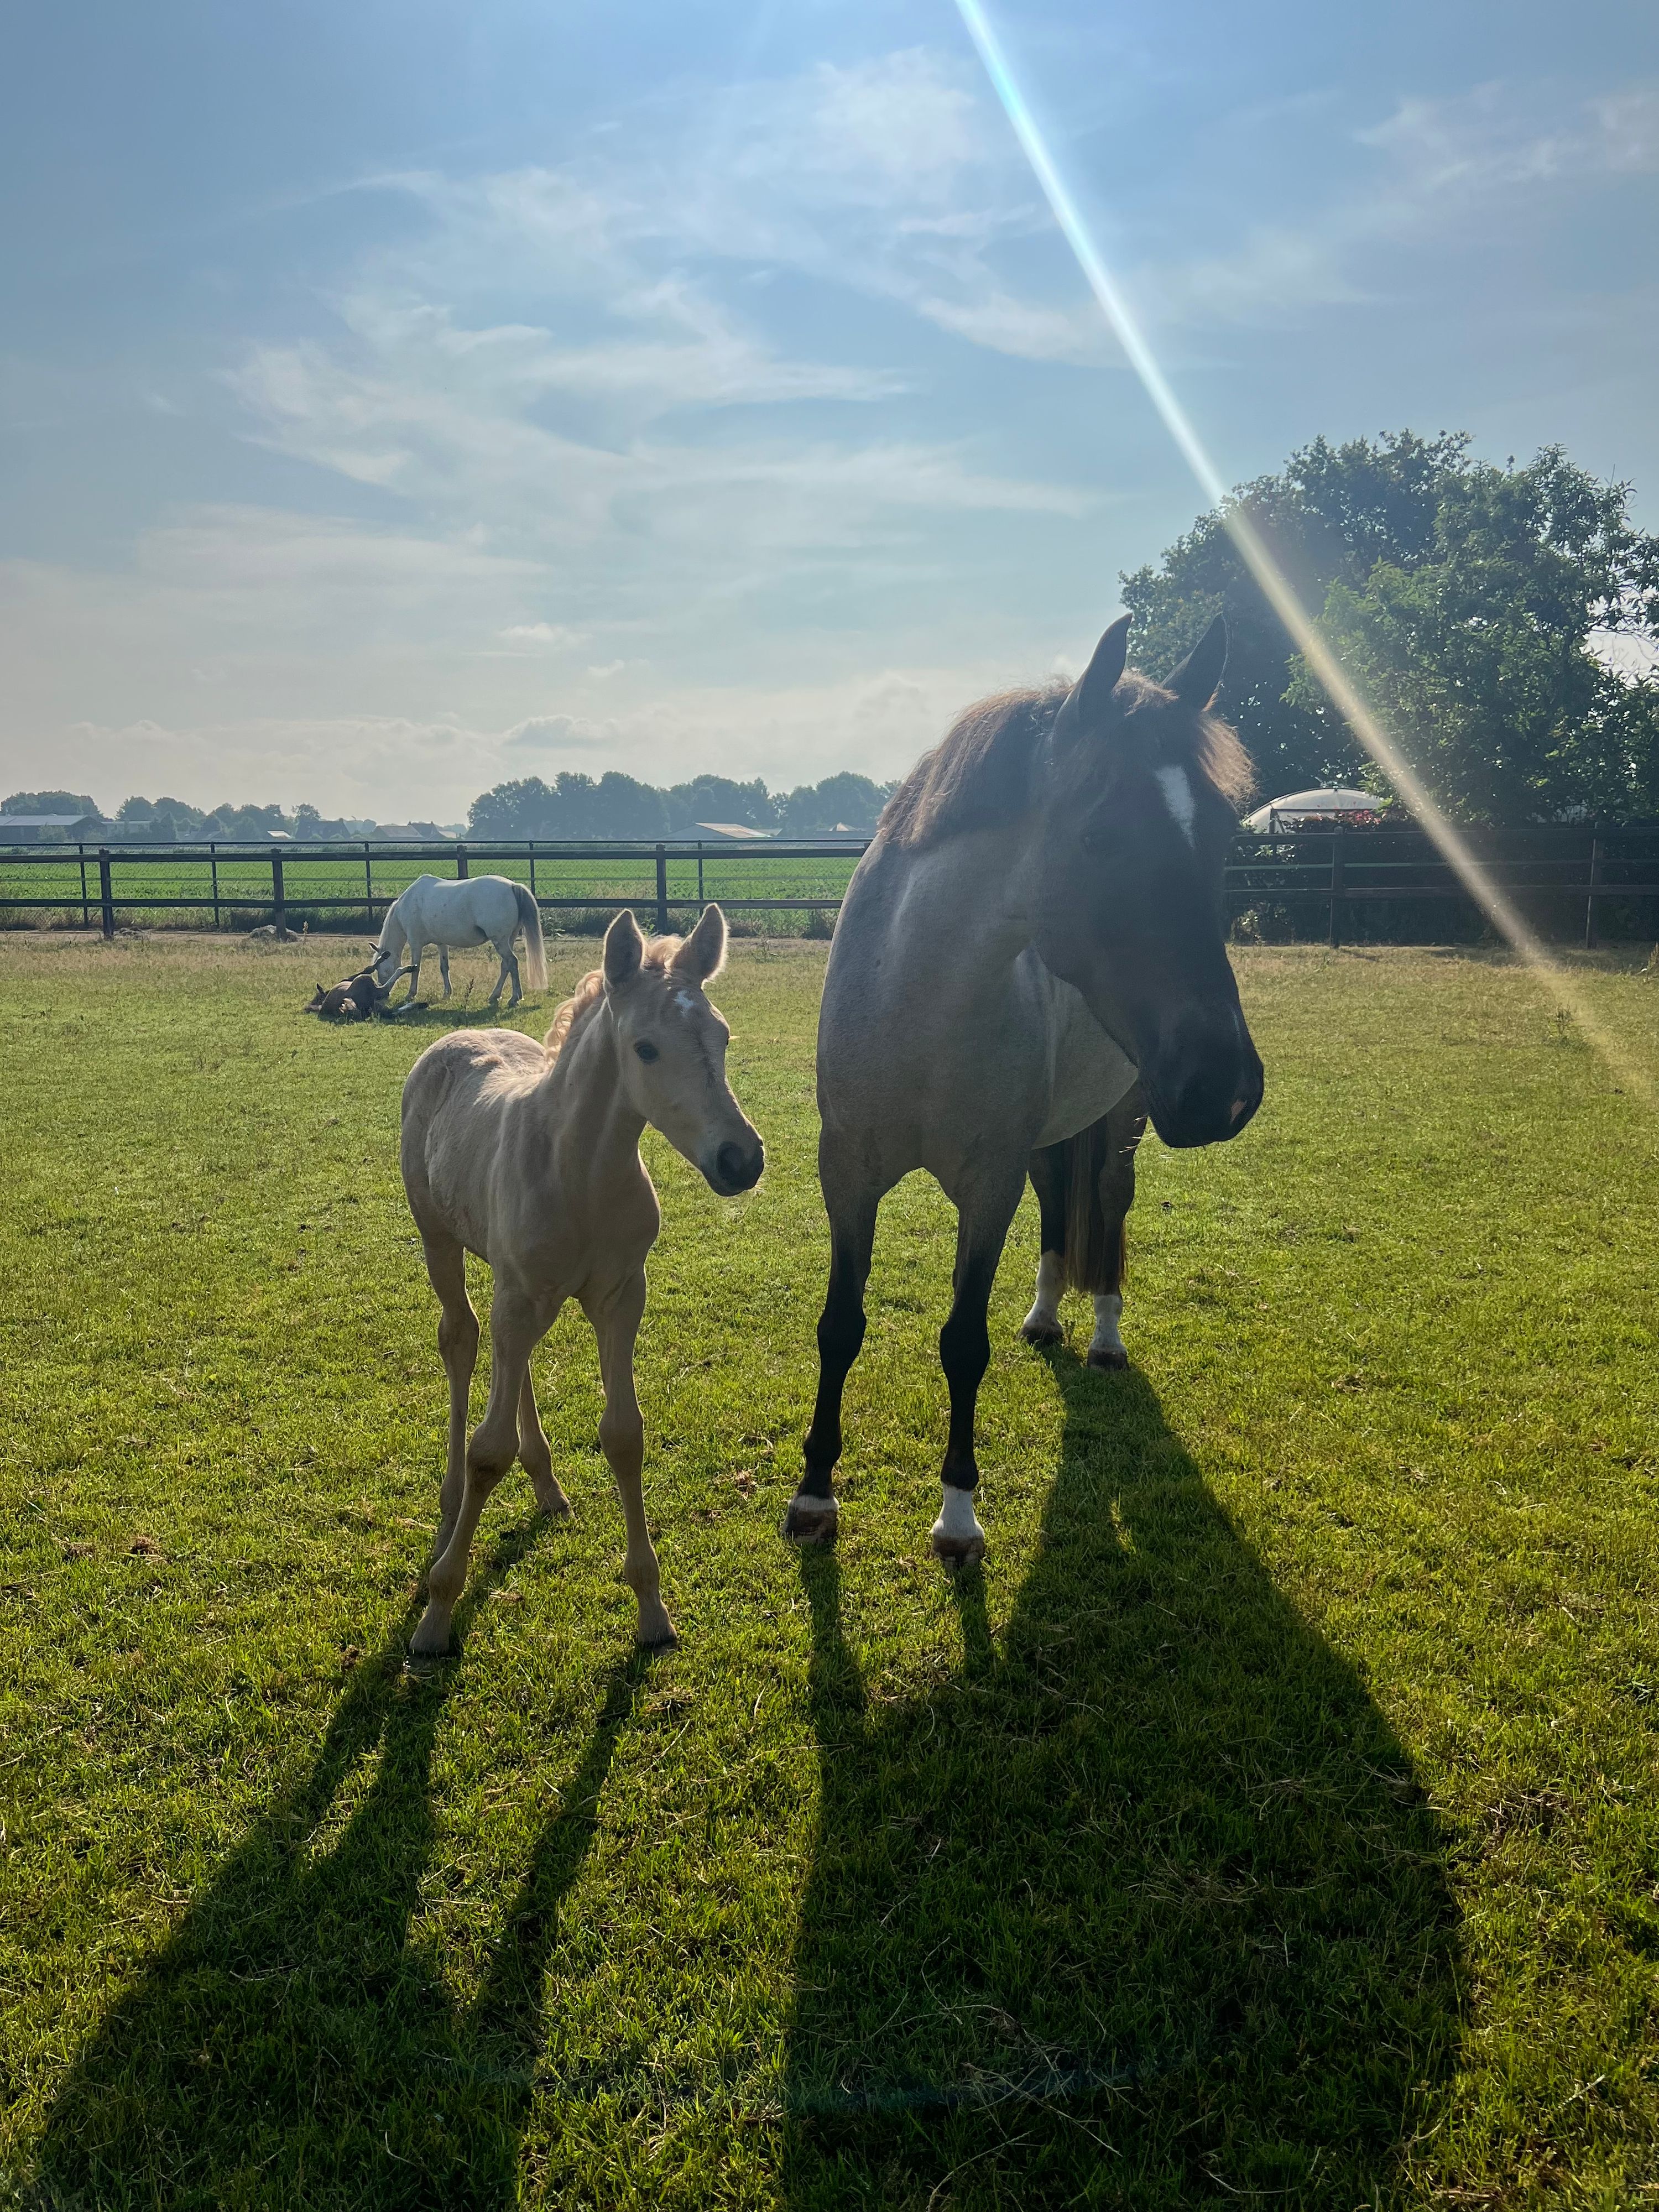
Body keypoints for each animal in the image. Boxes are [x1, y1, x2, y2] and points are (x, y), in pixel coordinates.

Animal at [370, 873, 547, 1008]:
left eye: (380, 968)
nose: (383, 993)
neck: (408, 903)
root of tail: (512, 886)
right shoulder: (442, 944)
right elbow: (444, 968)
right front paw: (447, 994)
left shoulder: (415, 944)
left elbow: (416, 968)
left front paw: (411, 994)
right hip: (507, 940)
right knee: (506, 966)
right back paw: (495, 996)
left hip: (500, 941)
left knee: (512, 962)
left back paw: (514, 998)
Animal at [400, 905, 765, 1656]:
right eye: (646, 1048)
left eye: (720, 1035)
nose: (741, 1159)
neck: (579, 1170)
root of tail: (453, 1036)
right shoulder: (516, 1295)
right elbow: (487, 1452)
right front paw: (437, 1612)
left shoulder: (622, 1296)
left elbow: (624, 1435)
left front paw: (652, 1609)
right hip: (441, 1244)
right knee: (462, 1340)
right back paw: (450, 1507)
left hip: (513, 1281)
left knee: (513, 1363)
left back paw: (546, 1483)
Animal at [782, 611, 1264, 1567]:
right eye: (1099, 836)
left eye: (1223, 836)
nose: (1225, 1086)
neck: (918, 1000)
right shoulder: (847, 1173)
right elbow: (840, 1325)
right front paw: (814, 1494)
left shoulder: (987, 1184)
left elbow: (962, 1342)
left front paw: (958, 1516)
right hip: (1049, 1138)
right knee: (1059, 1202)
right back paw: (1045, 1318)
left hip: (1123, 1120)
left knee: (1107, 1208)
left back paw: (1105, 1336)